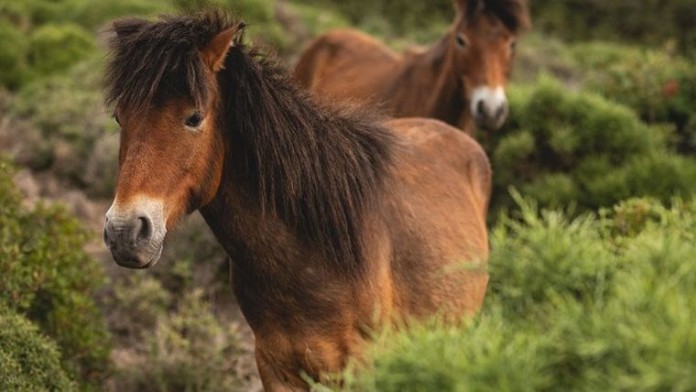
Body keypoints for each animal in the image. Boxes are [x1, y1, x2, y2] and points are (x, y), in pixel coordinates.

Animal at [103, 10, 492, 390]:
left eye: (194, 117)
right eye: (120, 117)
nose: (124, 231)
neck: (316, 251)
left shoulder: (360, 369)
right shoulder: (275, 367)